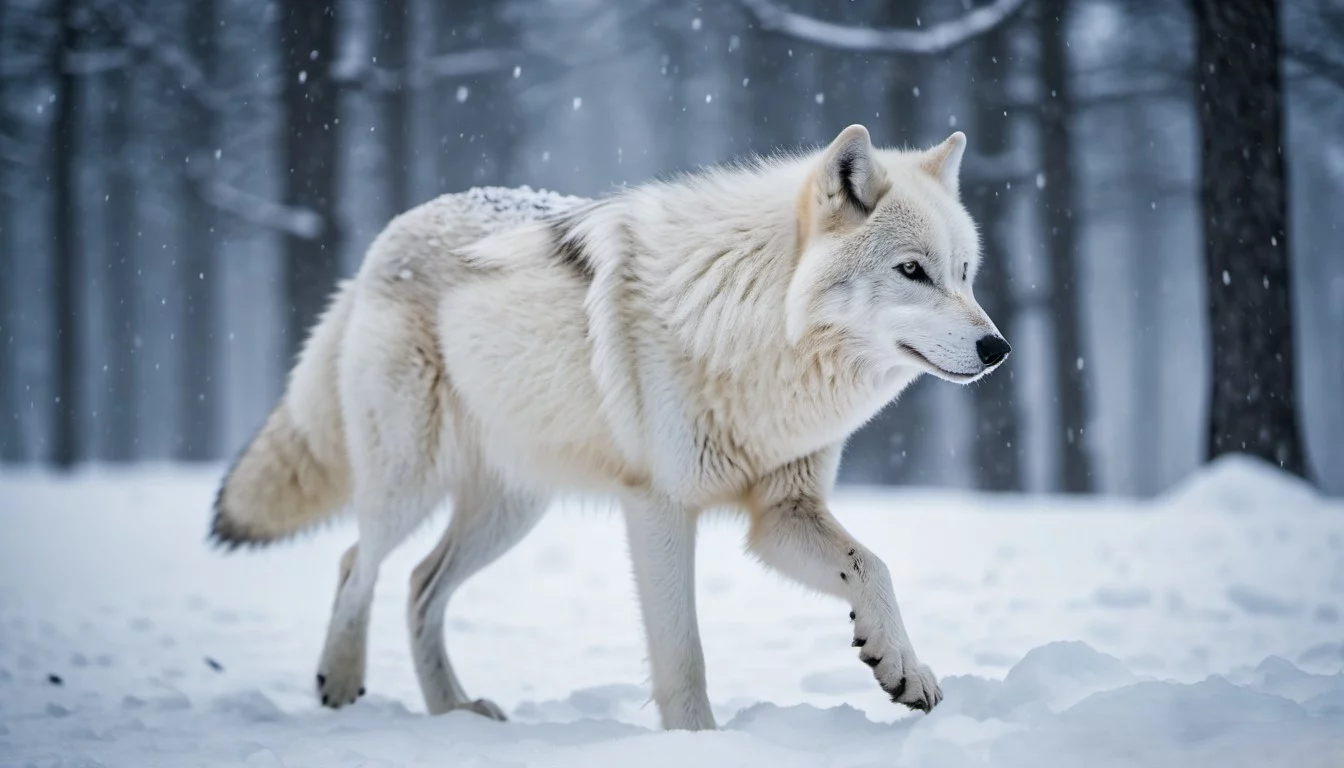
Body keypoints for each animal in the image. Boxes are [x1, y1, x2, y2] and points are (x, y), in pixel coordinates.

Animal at [211, 124, 1010, 730]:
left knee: (417, 584)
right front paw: (700, 742)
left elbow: (872, 567)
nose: (997, 348)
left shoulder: (781, 512)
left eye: (966, 274)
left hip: (511, 510)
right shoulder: (658, 508)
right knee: (359, 563)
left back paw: (455, 713)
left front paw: (900, 665)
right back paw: (342, 683)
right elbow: (683, 654)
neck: (753, 327)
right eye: (912, 271)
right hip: (407, 482)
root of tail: (384, 240)